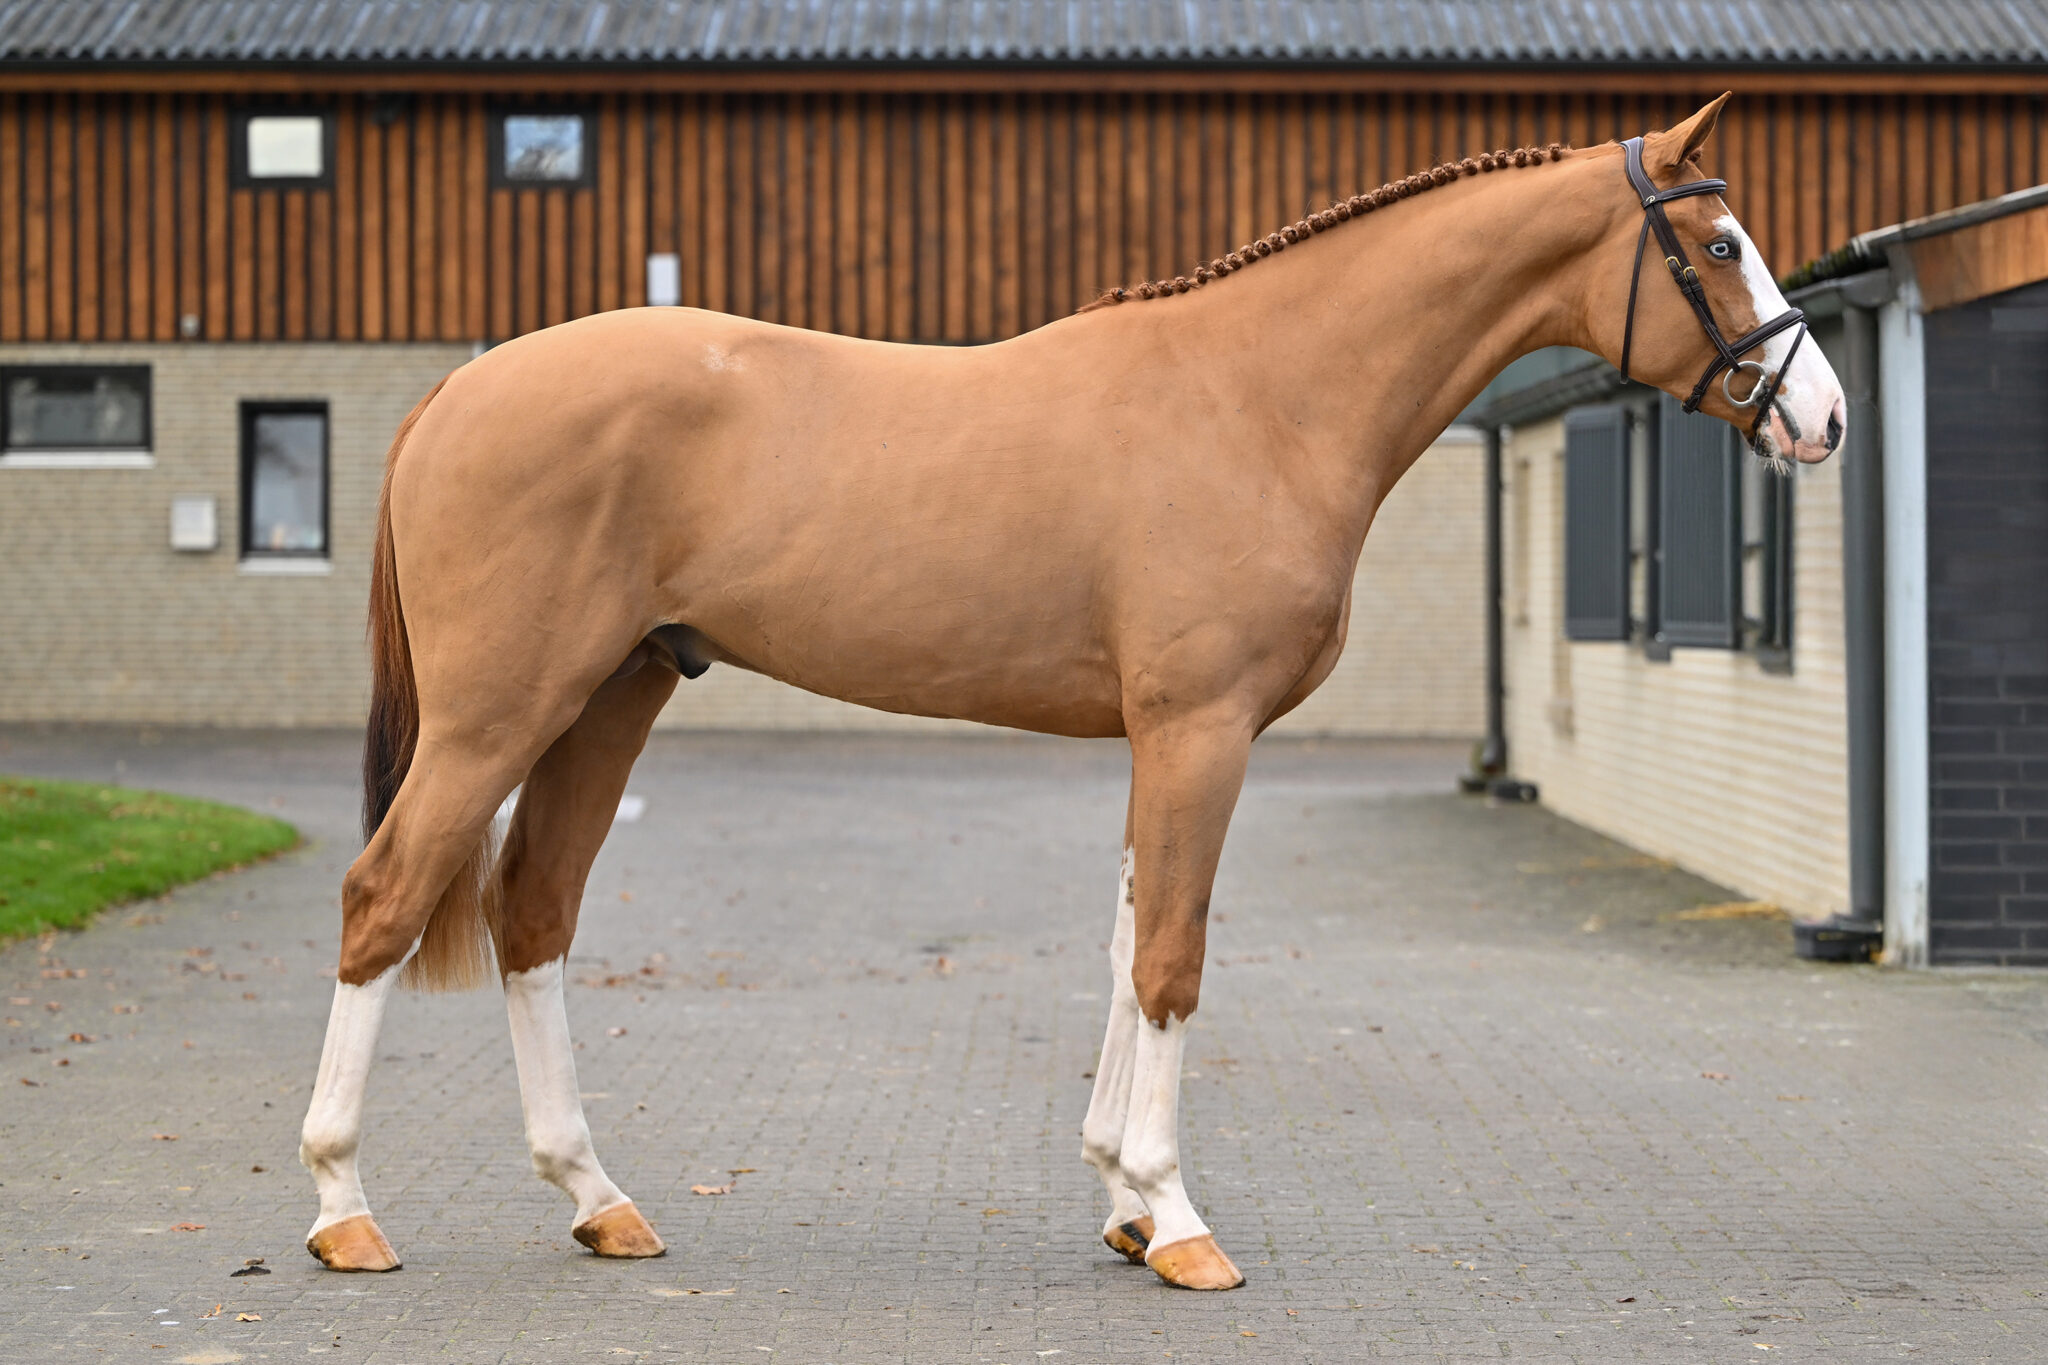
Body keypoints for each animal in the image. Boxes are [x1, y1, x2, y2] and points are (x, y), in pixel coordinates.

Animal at [297, 94, 1845, 1290]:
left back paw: (596, 1198)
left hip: (611, 697)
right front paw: (1178, 1220)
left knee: (532, 913)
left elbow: (1122, 942)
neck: (1258, 396)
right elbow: (1171, 957)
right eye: (1719, 245)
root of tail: (456, 391)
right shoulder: (1201, 732)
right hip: (499, 715)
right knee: (384, 898)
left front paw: (1119, 1198)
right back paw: (344, 1210)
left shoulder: (1159, 739)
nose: (1818, 415)